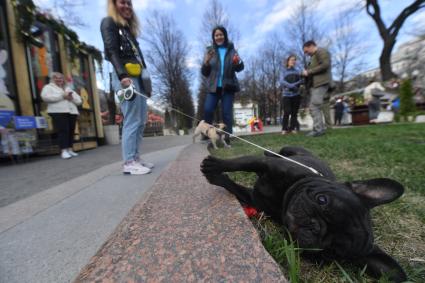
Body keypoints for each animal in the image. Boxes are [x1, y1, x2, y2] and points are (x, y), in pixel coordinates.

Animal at [200, 146, 406, 283]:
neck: (282, 199)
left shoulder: (254, 199)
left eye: (331, 252)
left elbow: (233, 186)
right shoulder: (270, 165)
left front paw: (215, 175)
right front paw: (214, 166)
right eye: (322, 200)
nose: (314, 226)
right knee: (275, 153)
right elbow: (242, 162)